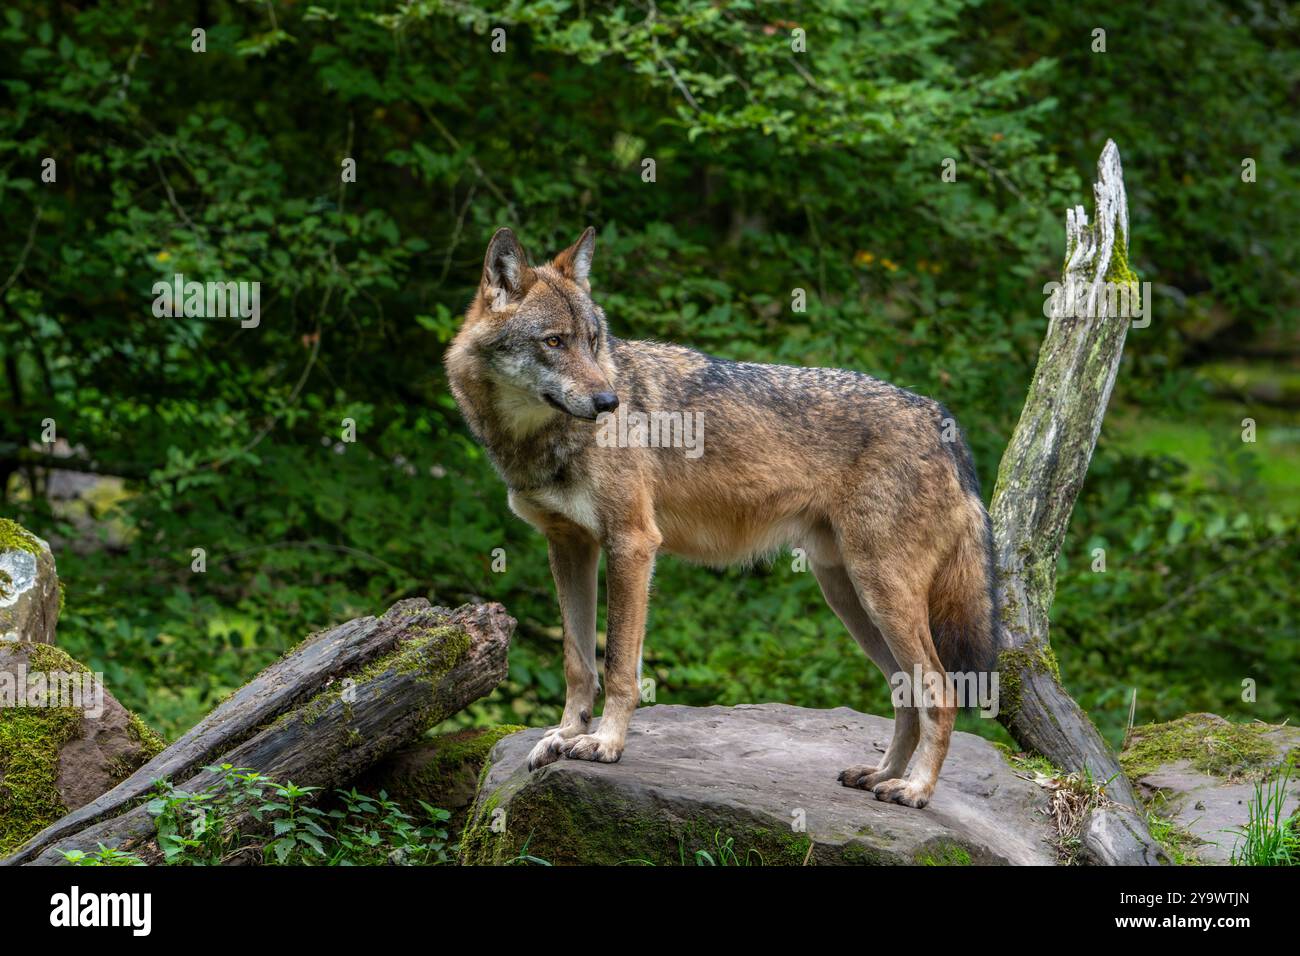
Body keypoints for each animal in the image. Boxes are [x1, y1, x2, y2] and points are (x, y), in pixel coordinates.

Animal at [445, 227, 998, 808]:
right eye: (554, 342)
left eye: (594, 341)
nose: (608, 401)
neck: (536, 441)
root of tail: (941, 418)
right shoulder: (569, 545)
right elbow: (578, 662)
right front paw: (565, 735)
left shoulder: (632, 544)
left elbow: (617, 665)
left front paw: (604, 744)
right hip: (849, 596)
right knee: (905, 694)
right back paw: (881, 774)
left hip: (880, 594)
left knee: (941, 692)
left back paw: (914, 788)